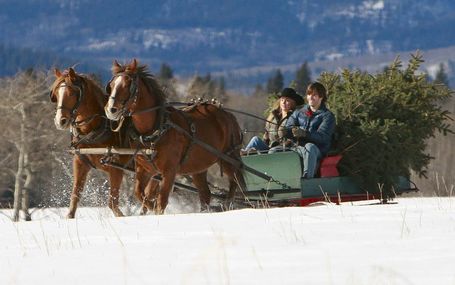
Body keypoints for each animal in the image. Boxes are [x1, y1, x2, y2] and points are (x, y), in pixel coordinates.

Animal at [49, 67, 149, 217]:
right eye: (56, 94)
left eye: (72, 93)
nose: (60, 121)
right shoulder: (80, 163)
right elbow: (74, 198)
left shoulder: (116, 168)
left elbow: (113, 204)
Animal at [105, 58, 248, 213]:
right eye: (111, 85)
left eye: (127, 85)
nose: (111, 110)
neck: (155, 129)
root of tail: (228, 115)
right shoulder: (145, 170)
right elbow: (140, 194)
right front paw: (149, 207)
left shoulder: (169, 171)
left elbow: (161, 201)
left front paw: (155, 208)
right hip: (199, 167)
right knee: (205, 193)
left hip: (228, 158)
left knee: (235, 182)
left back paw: (229, 204)